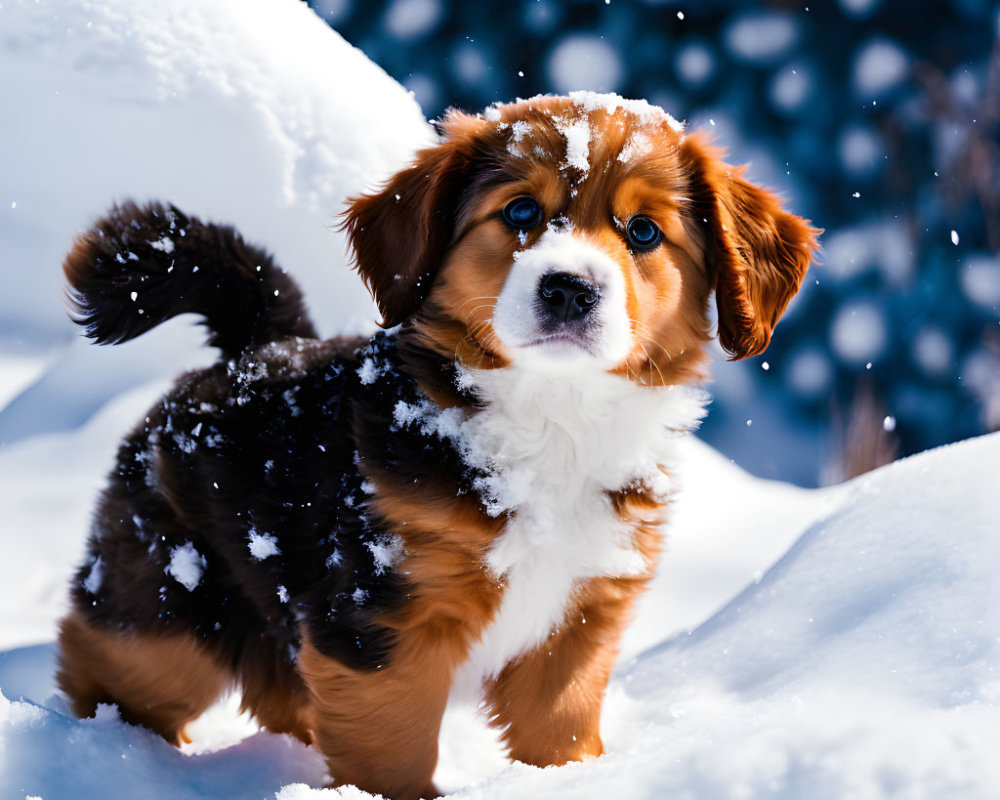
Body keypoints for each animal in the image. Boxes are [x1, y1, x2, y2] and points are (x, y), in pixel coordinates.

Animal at [56, 94, 820, 800]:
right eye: (520, 212)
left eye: (644, 231)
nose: (569, 289)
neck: (554, 418)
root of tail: (260, 346)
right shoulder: (385, 621)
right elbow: (392, 745)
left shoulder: (577, 622)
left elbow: (560, 733)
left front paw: (573, 780)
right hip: (168, 609)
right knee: (111, 663)